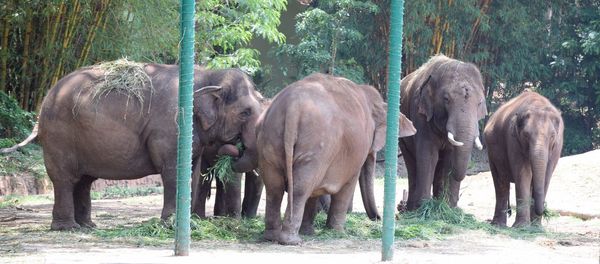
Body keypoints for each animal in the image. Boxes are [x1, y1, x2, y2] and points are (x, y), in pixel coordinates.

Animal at [26, 61, 260, 229]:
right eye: (245, 112)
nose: (235, 145)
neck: (209, 75)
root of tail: (46, 99)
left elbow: (192, 174)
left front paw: (190, 225)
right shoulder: (172, 127)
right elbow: (174, 173)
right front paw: (170, 225)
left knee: (83, 181)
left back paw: (87, 226)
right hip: (59, 135)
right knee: (65, 179)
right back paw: (68, 228)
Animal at [258, 72, 418, 245]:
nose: (378, 217)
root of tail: (292, 107)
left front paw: (310, 232)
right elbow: (348, 183)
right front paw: (337, 232)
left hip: (270, 139)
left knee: (274, 188)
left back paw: (271, 237)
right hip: (316, 146)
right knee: (300, 188)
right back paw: (292, 241)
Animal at [398, 54, 488, 210]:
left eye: (479, 103)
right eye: (446, 99)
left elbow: (449, 159)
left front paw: (448, 208)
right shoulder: (420, 115)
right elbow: (429, 156)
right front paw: (425, 207)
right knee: (411, 163)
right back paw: (412, 208)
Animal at [482, 91, 564, 227]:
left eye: (552, 136)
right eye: (526, 135)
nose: (544, 210)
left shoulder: (557, 145)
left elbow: (547, 175)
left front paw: (536, 228)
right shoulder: (513, 141)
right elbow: (523, 174)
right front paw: (521, 227)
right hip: (491, 151)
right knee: (501, 182)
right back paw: (498, 224)